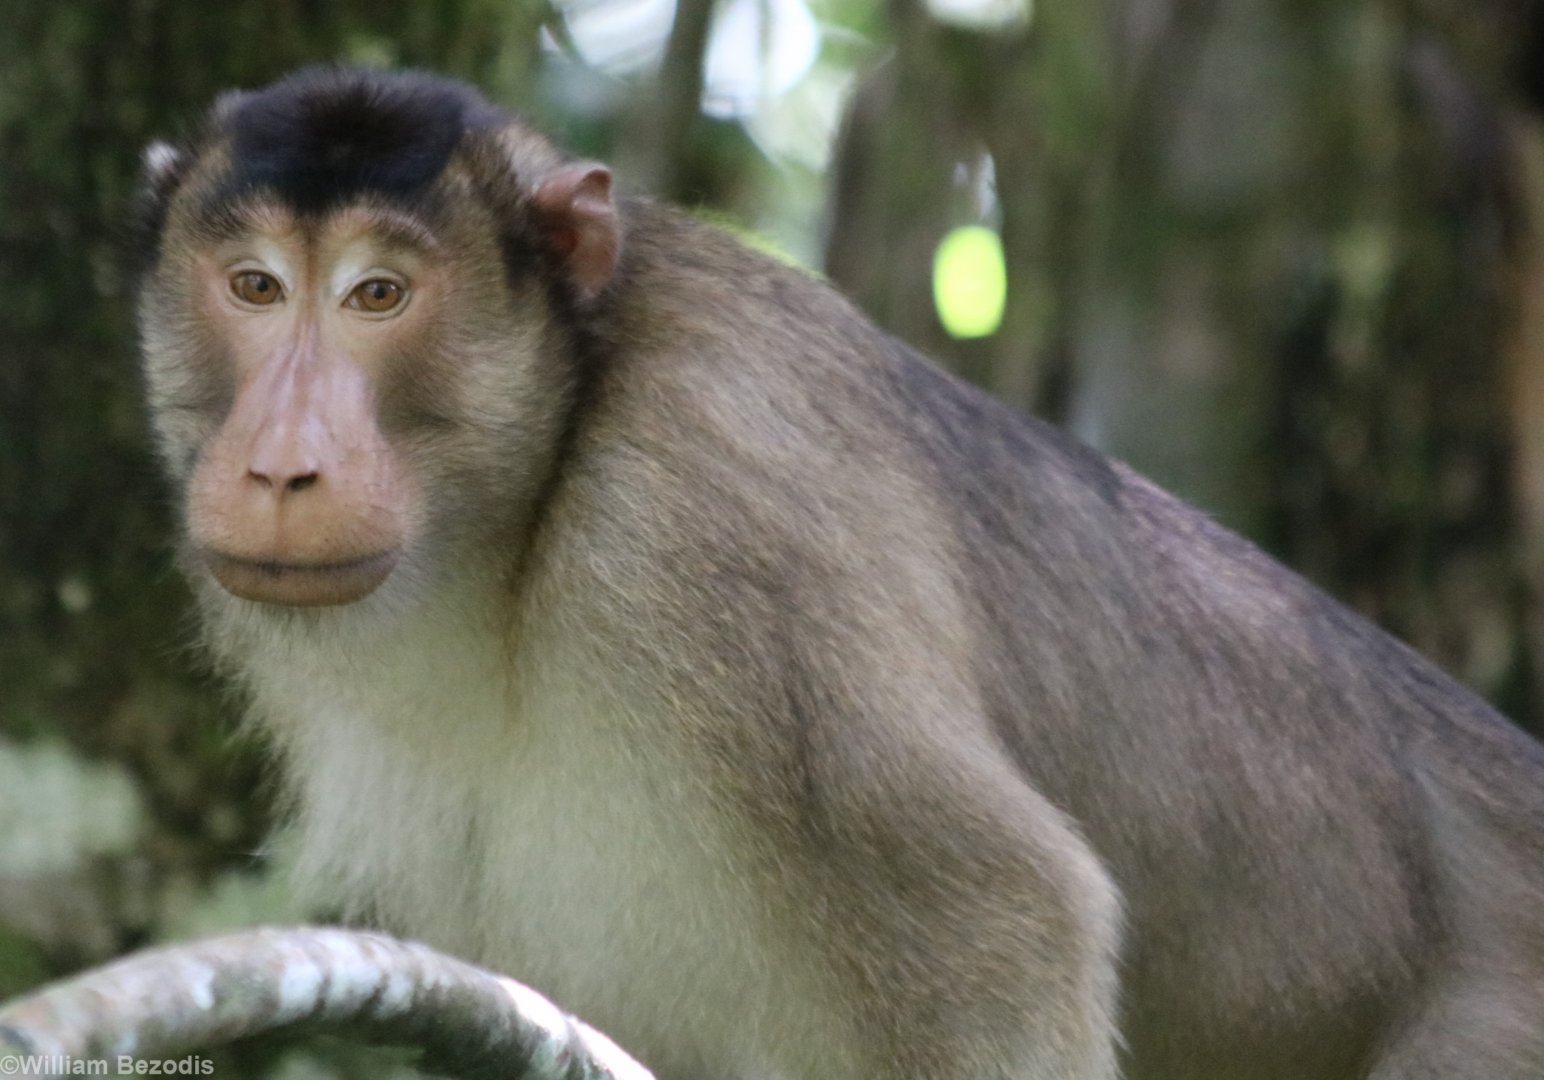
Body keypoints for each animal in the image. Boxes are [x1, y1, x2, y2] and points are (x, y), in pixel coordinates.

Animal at [129, 67, 1544, 1080]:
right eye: (253, 286)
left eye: (378, 295)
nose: (280, 464)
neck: (525, 521)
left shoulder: (710, 514)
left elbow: (999, 927)